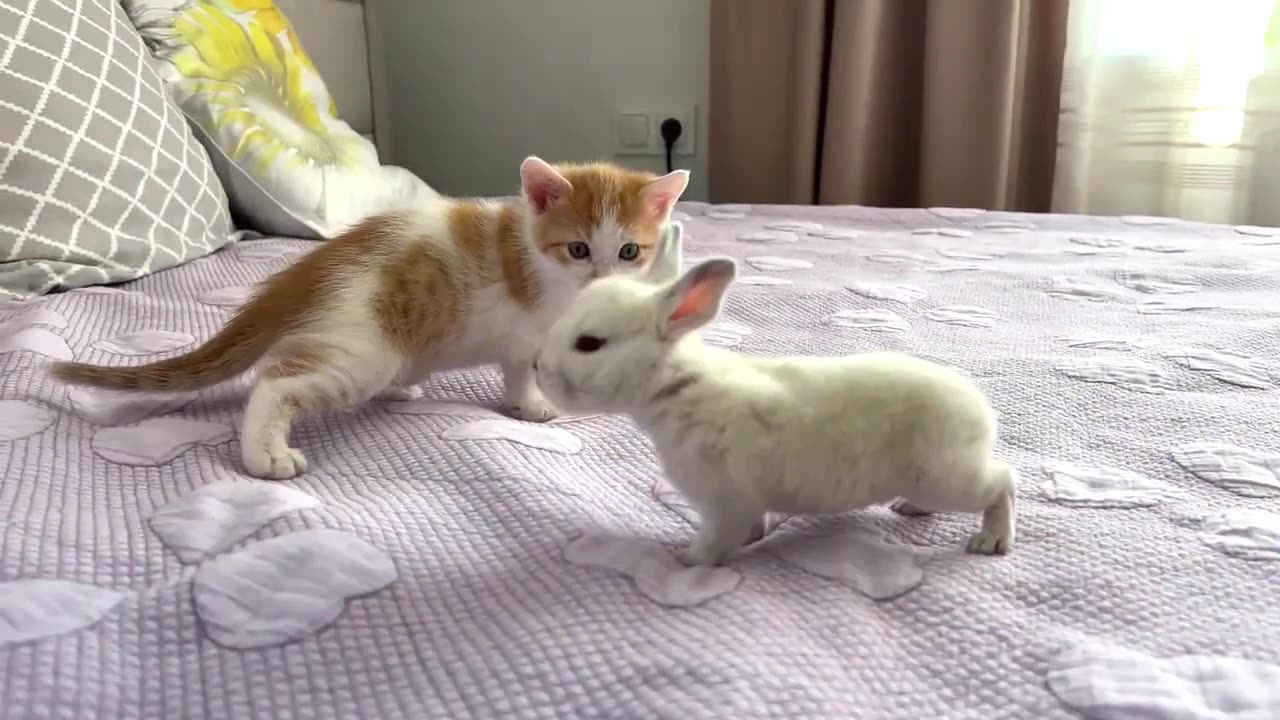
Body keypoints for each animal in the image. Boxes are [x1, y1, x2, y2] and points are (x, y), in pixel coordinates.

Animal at [47, 155, 691, 476]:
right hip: (361, 349)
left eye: (629, 251)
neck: (531, 252)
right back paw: (265, 455)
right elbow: (521, 369)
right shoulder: (526, 329)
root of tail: (307, 270)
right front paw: (533, 406)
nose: (603, 276)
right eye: (578, 249)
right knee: (275, 382)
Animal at [529, 233, 1018, 563]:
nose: (537, 367)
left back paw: (991, 541)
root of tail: (982, 411)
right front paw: (751, 539)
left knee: (1003, 483)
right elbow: (750, 526)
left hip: (948, 475)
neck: (678, 386)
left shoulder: (724, 502)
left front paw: (685, 560)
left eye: (589, 343)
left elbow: (716, 542)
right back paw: (909, 508)